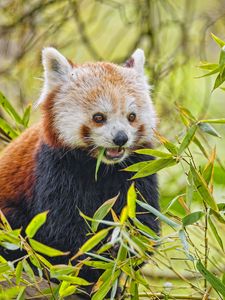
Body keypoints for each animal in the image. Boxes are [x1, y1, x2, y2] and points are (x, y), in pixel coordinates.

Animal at [0, 47, 160, 290]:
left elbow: (143, 223)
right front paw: (90, 266)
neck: (101, 168)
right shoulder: (55, 168)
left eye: (131, 116)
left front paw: (119, 250)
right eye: (99, 117)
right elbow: (61, 233)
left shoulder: (138, 167)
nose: (121, 138)